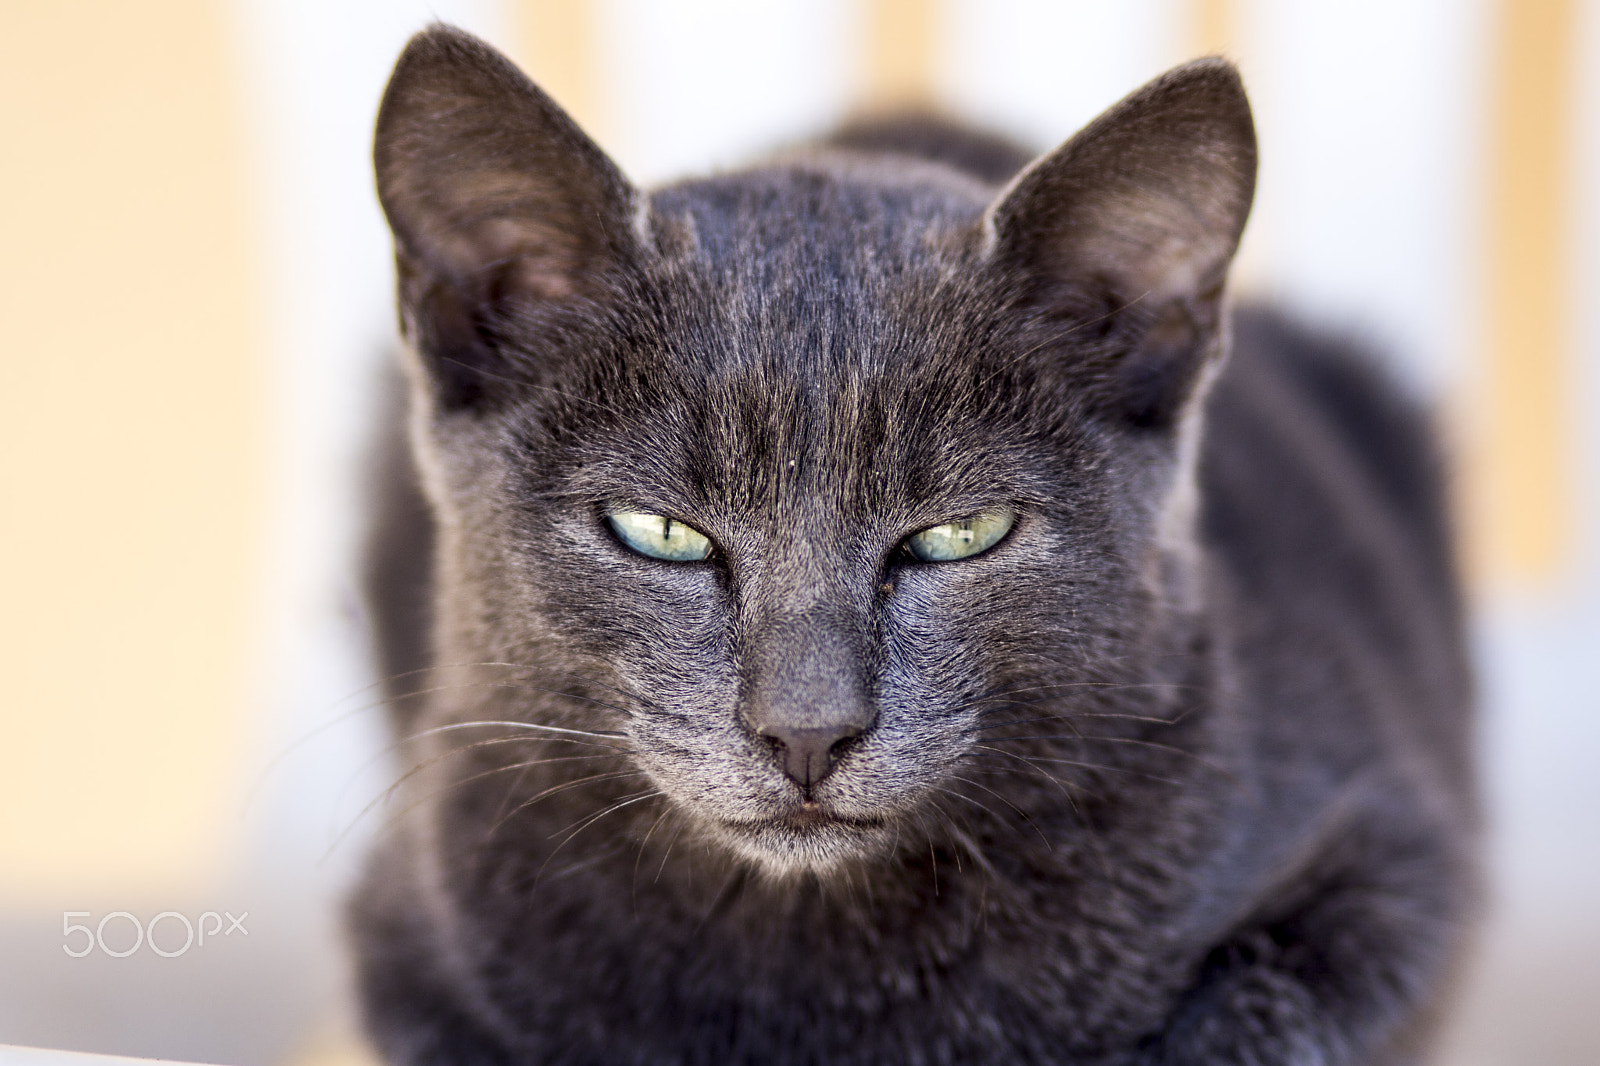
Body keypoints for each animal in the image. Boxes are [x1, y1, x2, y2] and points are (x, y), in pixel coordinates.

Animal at [356, 24, 1478, 1062]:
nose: (806, 731)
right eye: (661, 532)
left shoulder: (1388, 865)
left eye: (958, 534)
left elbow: (1252, 1016)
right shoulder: (408, 943)